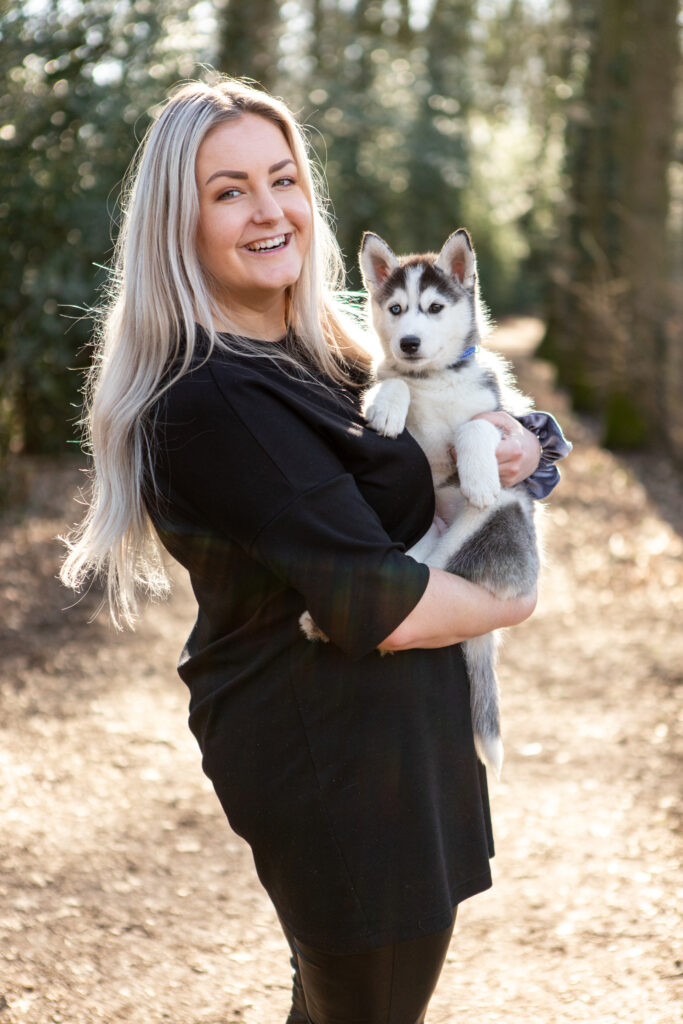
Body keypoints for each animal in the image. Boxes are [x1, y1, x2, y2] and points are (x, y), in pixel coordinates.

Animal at [360, 230, 540, 774]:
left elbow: (476, 426)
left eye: (434, 308)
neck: (435, 380)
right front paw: (389, 405)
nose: (409, 343)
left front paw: (477, 474)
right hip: (422, 545)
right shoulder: (393, 383)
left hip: (494, 525)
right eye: (396, 309)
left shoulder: (498, 415)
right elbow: (392, 380)